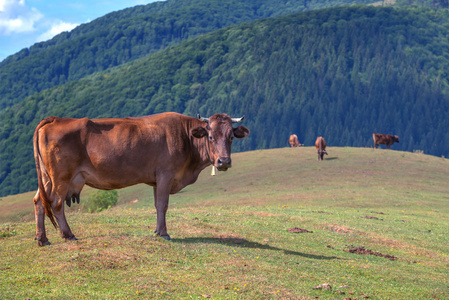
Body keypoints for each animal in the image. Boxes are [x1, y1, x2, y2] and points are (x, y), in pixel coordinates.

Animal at [31, 112, 248, 246]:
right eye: (210, 137)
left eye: (231, 137)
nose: (223, 161)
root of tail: (56, 119)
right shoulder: (166, 174)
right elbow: (163, 204)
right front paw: (164, 234)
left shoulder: (156, 179)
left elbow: (157, 205)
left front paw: (157, 231)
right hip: (61, 177)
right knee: (56, 204)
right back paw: (68, 235)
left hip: (47, 178)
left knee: (39, 202)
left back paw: (42, 239)